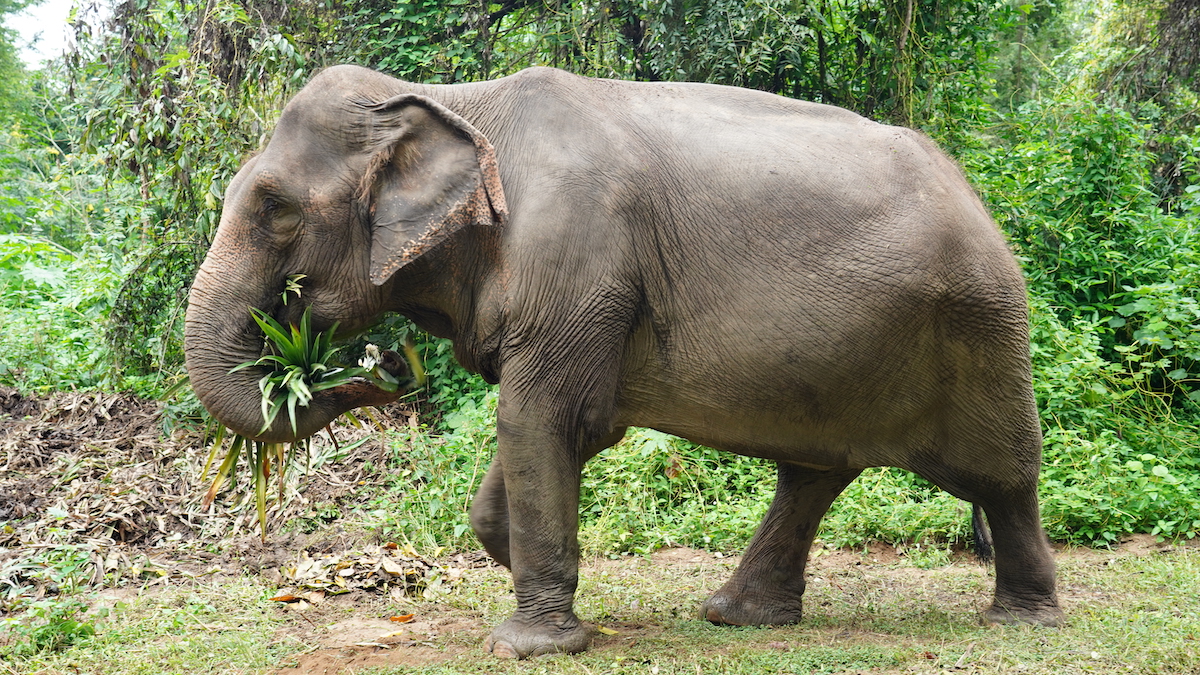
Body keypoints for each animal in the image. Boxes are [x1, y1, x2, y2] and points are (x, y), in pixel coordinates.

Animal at [184, 65, 1064, 659]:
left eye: (276, 209)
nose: (385, 370)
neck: (454, 100)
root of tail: (976, 193)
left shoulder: (578, 261)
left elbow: (541, 416)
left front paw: (528, 645)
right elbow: (557, 432)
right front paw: (530, 577)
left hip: (980, 328)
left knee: (1003, 472)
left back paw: (1022, 617)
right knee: (813, 472)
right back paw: (737, 614)